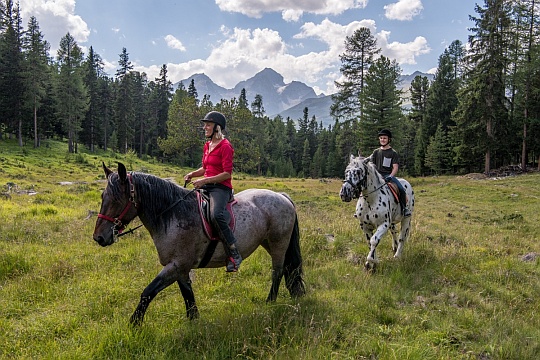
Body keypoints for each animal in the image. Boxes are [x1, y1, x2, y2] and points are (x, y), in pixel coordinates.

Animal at [92, 162, 304, 324]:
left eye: (117, 199)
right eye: (103, 197)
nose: (99, 237)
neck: (172, 214)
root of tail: (282, 196)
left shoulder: (176, 265)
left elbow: (148, 292)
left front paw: (134, 324)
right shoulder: (181, 268)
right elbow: (187, 294)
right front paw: (194, 321)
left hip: (278, 243)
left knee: (278, 271)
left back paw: (270, 301)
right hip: (267, 242)